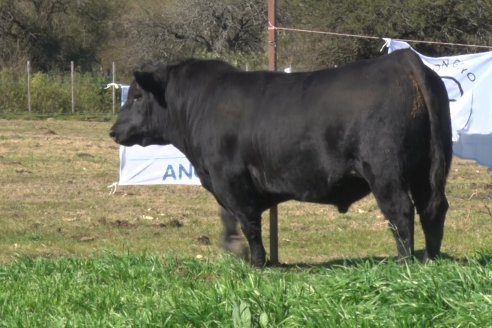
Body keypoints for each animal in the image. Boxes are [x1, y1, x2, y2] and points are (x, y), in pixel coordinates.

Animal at [109, 49, 452, 266]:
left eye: (136, 96)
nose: (114, 130)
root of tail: (404, 60)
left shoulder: (230, 176)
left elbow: (248, 221)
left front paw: (257, 261)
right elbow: (227, 216)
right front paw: (235, 249)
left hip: (385, 170)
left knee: (401, 211)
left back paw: (405, 261)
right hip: (426, 168)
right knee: (433, 207)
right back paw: (430, 258)